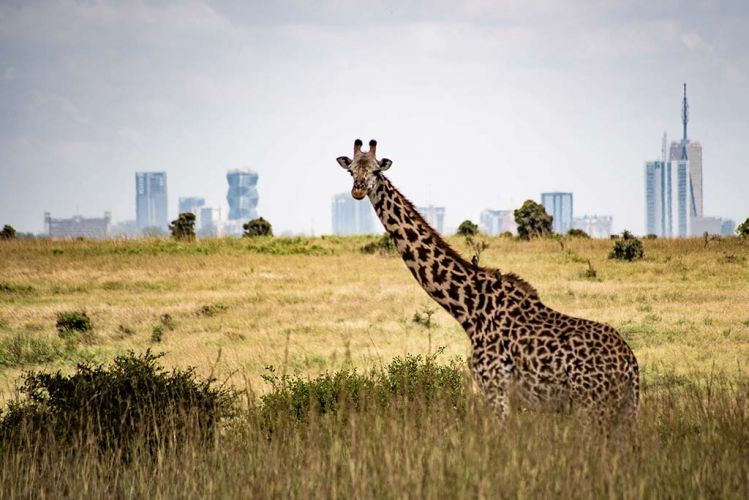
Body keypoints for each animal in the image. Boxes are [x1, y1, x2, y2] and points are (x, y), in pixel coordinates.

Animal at [338, 140, 636, 426]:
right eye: (351, 171)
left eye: (376, 170)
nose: (358, 190)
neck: (470, 307)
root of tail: (630, 364)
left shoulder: (495, 388)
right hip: (624, 409)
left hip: (591, 405)